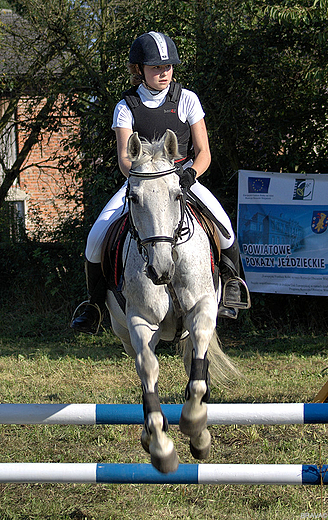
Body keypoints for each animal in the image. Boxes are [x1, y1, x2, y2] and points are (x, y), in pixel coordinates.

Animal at [106, 131, 237, 476]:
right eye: (134, 198)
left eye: (177, 194)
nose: (160, 270)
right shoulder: (140, 322)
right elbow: (148, 368)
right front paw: (161, 447)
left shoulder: (202, 308)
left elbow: (199, 363)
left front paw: (193, 422)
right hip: (123, 332)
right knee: (142, 368)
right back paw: (151, 434)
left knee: (196, 362)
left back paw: (200, 432)